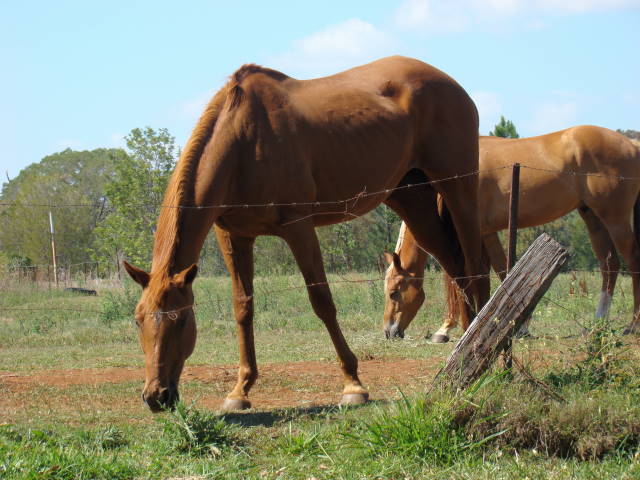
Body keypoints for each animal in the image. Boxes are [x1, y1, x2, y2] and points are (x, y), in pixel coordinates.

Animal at [122, 55, 490, 412]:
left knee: (475, 264)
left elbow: (322, 302)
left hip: (458, 191)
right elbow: (243, 307)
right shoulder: (234, 237)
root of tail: (451, 84)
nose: (156, 396)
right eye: (138, 320)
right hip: (413, 201)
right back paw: (467, 339)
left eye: (182, 320)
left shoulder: (299, 228)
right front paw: (240, 390)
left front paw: (353, 385)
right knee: (456, 267)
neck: (243, 142)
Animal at [383, 125, 640, 342]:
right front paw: (516, 323)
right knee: (609, 263)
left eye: (394, 293)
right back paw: (599, 322)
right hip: (592, 217)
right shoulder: (487, 234)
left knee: (631, 260)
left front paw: (448, 328)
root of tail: (631, 144)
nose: (389, 331)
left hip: (615, 219)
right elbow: (498, 271)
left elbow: (465, 278)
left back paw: (633, 325)